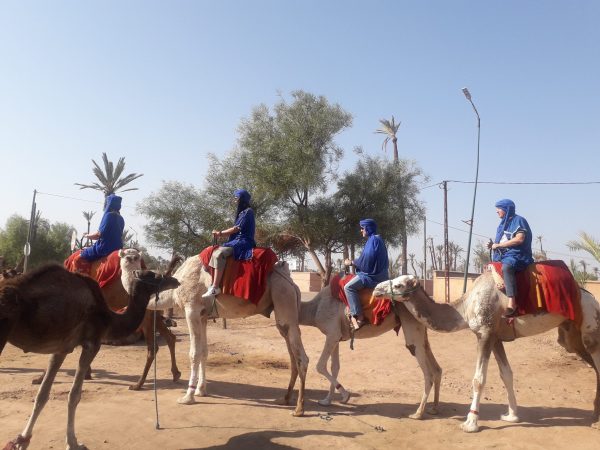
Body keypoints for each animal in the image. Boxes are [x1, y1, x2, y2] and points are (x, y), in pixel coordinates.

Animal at [0, 264, 179, 450]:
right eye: (155, 276)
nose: (175, 280)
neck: (109, 317)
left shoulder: (62, 349)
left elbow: (42, 394)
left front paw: (22, 440)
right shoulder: (92, 344)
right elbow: (74, 395)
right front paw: (73, 443)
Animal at [145, 256, 310, 418]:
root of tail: (291, 283)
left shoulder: (192, 309)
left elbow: (194, 353)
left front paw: (188, 397)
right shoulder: (203, 316)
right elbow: (204, 352)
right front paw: (201, 390)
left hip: (284, 297)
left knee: (302, 357)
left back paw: (299, 409)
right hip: (282, 308)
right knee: (292, 354)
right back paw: (285, 399)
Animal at [298, 284, 440, 418]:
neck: (314, 309)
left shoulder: (332, 334)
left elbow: (320, 366)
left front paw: (345, 395)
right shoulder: (336, 336)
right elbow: (335, 367)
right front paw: (327, 401)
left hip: (412, 326)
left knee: (427, 371)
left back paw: (418, 413)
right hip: (421, 328)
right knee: (436, 367)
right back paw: (433, 409)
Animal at [370, 270, 600, 432]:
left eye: (398, 284)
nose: (375, 289)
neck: (464, 308)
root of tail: (593, 299)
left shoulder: (485, 333)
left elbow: (478, 379)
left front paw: (470, 423)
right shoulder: (496, 337)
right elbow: (506, 374)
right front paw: (511, 416)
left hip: (590, 326)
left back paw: (596, 422)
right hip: (570, 337)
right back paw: (595, 417)